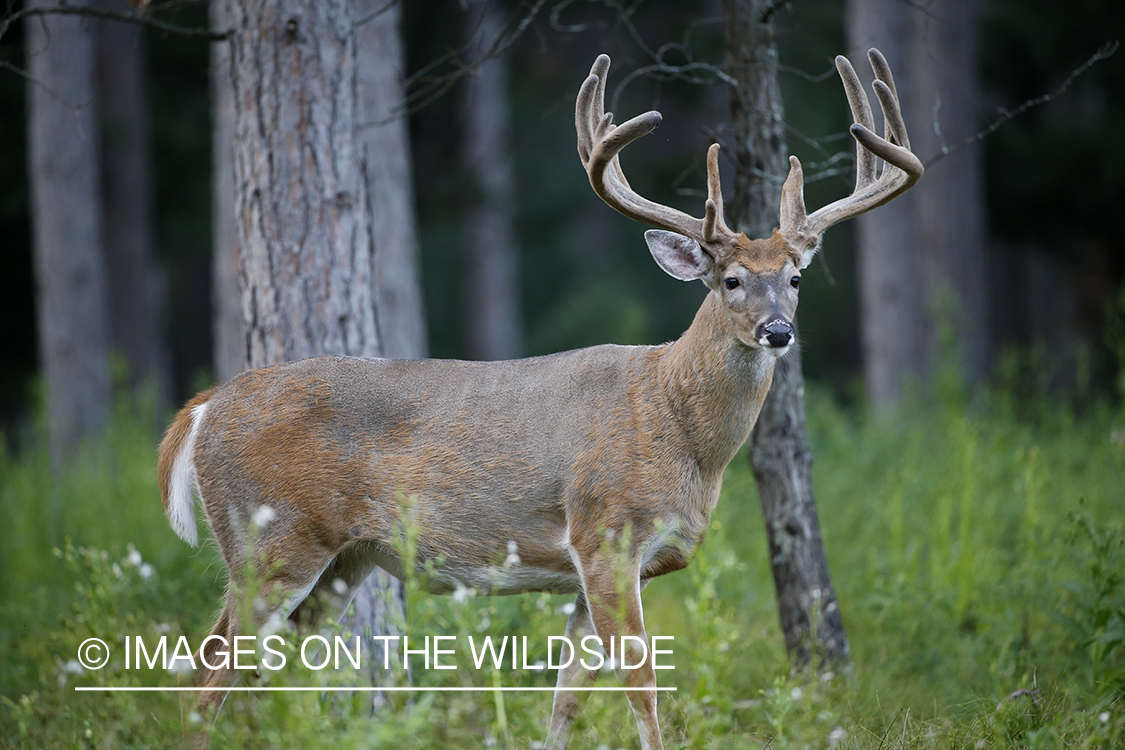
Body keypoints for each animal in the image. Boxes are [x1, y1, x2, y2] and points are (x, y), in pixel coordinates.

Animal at [163, 49, 927, 746]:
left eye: (795, 278)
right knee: (205, 674)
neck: (680, 431)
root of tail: (202, 408)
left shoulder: (600, 569)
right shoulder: (604, 532)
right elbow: (640, 683)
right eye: (731, 280)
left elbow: (567, 699)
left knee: (256, 678)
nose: (778, 331)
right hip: (271, 538)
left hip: (340, 560)